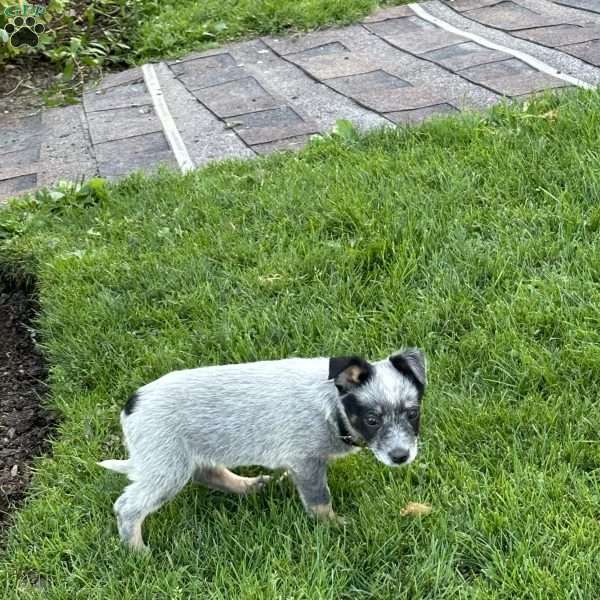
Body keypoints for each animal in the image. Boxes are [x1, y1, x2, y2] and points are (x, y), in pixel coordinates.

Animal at [98, 350, 426, 552]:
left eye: (412, 414)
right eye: (372, 420)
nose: (401, 457)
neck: (333, 404)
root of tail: (131, 405)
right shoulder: (306, 462)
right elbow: (320, 500)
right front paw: (333, 526)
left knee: (208, 473)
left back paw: (249, 486)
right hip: (167, 468)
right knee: (127, 507)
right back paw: (138, 551)